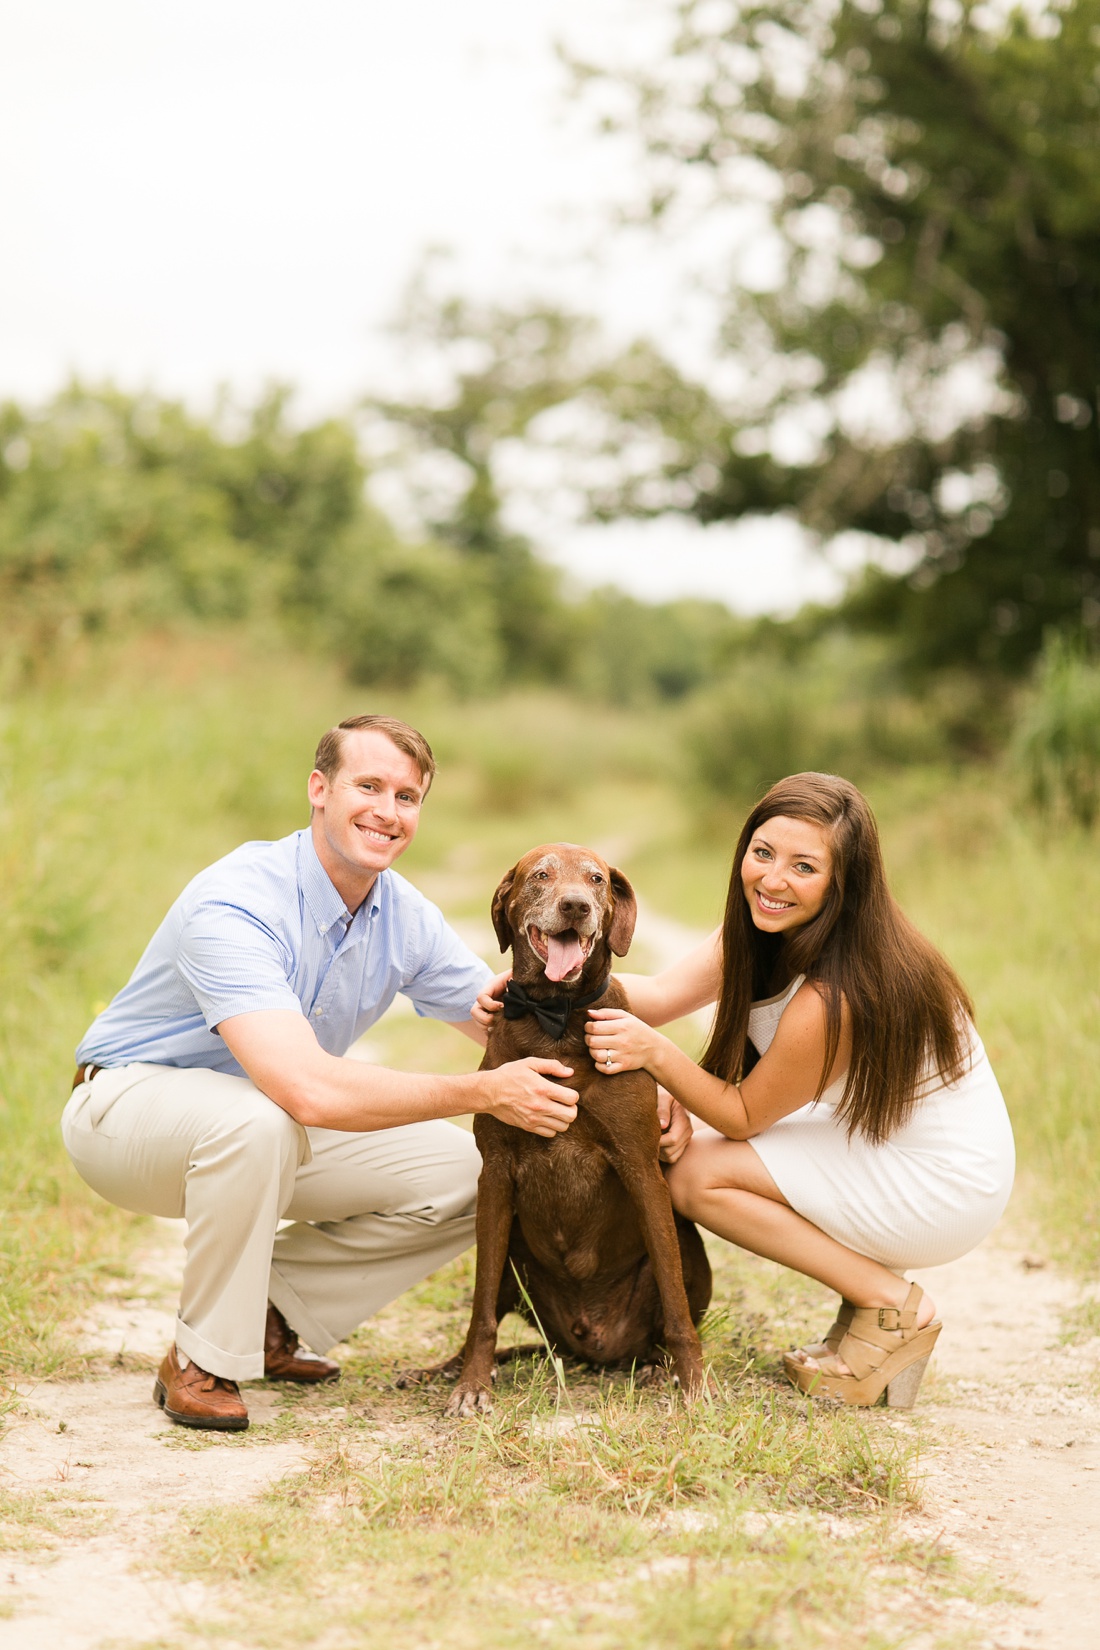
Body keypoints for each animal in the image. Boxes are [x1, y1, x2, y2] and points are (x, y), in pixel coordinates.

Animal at [441, 844, 709, 1412]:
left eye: (597, 880)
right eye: (541, 875)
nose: (575, 906)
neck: (557, 1018)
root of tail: (588, 1345)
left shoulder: (641, 1168)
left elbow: (675, 1304)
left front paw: (696, 1383)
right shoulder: (494, 1177)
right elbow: (481, 1311)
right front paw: (471, 1386)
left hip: (689, 1247)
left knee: (662, 1324)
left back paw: (658, 1369)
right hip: (514, 1255)